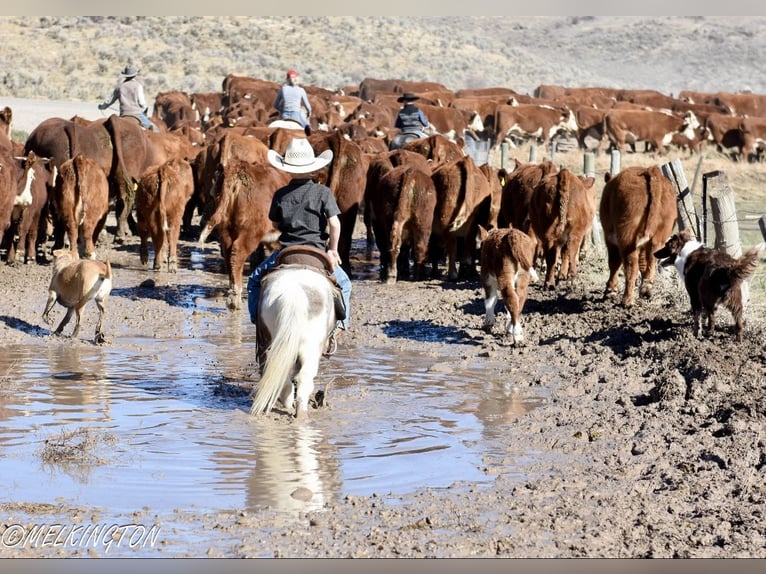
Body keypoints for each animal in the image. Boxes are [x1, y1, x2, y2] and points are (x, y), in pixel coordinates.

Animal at [198, 160, 292, 312]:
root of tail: (238, 171)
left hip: (226, 229)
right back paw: (235, 300)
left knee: (229, 255)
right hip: (250, 232)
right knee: (238, 254)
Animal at [604, 165, 680, 308]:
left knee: (631, 265)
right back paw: (646, 288)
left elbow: (614, 263)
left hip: (627, 237)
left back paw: (627, 300)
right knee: (651, 257)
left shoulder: (610, 238)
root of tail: (649, 170)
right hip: (658, 237)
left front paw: (610, 291)